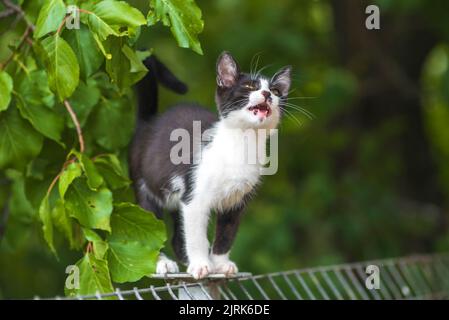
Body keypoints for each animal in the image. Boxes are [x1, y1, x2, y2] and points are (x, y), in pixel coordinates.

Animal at [130, 51, 290, 278]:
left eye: (276, 91)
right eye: (250, 86)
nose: (268, 94)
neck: (242, 144)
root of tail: (148, 122)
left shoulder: (237, 202)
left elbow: (227, 234)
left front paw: (221, 264)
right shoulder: (194, 197)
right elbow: (196, 235)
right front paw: (200, 264)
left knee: (177, 235)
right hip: (144, 185)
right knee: (152, 226)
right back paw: (162, 263)